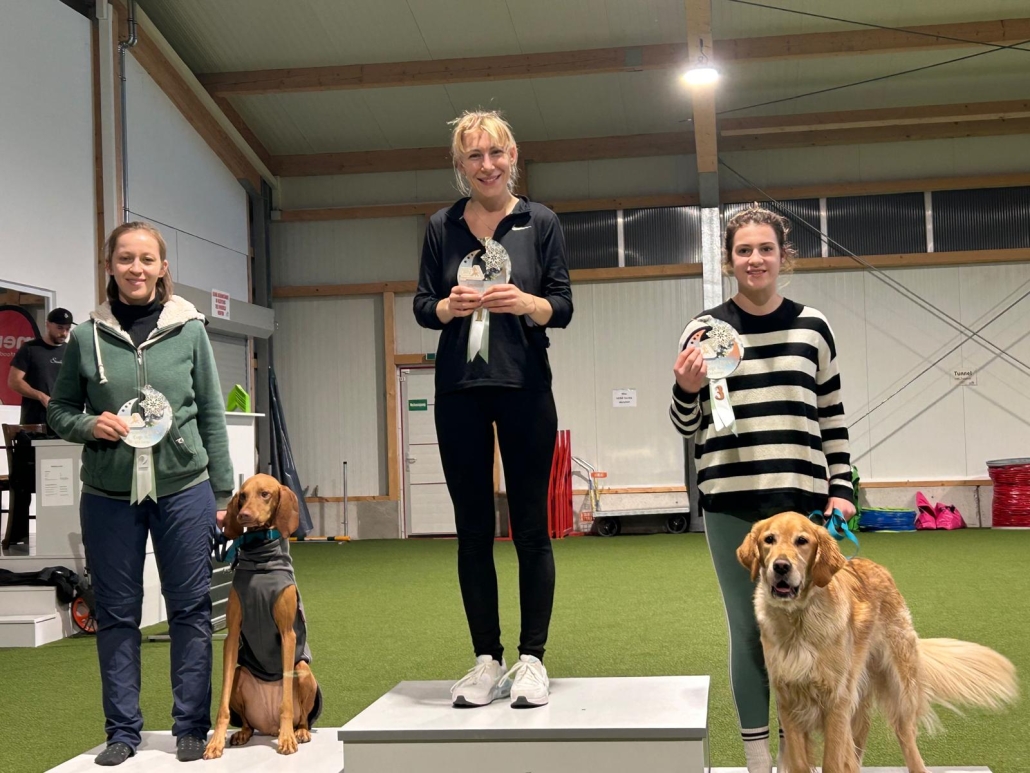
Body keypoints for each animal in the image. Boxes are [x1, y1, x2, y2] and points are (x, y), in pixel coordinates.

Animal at [204, 473, 322, 758]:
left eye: (265, 494)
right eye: (243, 496)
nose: (243, 515)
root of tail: (268, 727)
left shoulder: (287, 634)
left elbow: (287, 702)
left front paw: (287, 739)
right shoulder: (232, 635)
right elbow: (222, 703)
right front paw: (216, 742)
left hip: (302, 671)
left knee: (301, 714)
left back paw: (298, 731)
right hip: (241, 673)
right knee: (247, 720)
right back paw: (243, 733)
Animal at [737, 511, 1017, 773]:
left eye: (802, 541)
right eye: (769, 540)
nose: (781, 567)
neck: (798, 621)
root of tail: (876, 566)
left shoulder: (836, 701)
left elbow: (833, 762)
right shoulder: (789, 703)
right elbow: (800, 762)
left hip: (899, 686)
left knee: (906, 737)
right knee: (859, 742)